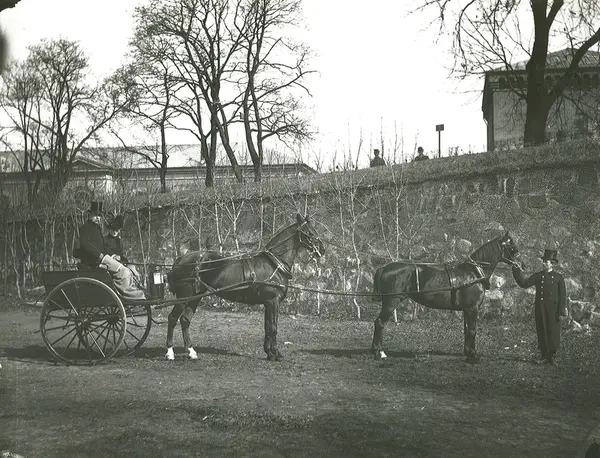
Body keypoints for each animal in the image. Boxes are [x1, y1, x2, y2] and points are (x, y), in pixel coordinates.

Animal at [165, 214, 324, 361]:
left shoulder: (268, 303)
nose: (322, 249)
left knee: (185, 320)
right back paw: (170, 352)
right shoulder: (273, 302)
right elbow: (273, 328)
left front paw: (269, 353)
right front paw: (276, 354)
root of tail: (181, 259)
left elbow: (267, 326)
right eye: (309, 232)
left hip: (195, 297)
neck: (274, 263)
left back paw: (191, 352)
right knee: (172, 318)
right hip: (184, 297)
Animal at [371, 232, 519, 363]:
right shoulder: (472, 308)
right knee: (380, 322)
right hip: (392, 301)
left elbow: (466, 330)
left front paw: (467, 353)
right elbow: (472, 330)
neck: (473, 273)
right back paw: (380, 352)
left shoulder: (467, 310)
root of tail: (384, 268)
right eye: (512, 248)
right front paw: (473, 356)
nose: (520, 264)